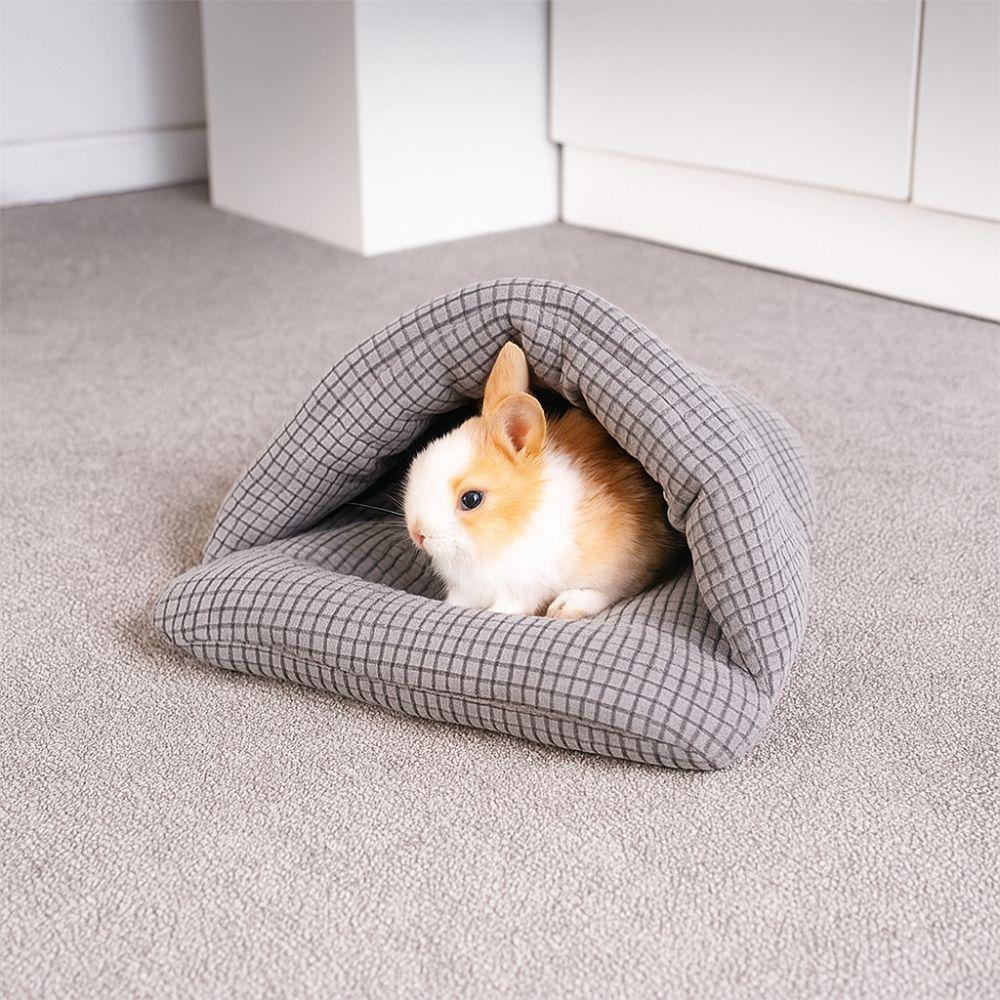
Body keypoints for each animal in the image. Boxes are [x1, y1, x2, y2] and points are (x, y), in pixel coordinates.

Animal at [403, 342, 684, 619]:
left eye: (471, 499)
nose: (418, 534)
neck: (516, 519)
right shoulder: (467, 591)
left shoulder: (519, 591)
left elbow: (507, 607)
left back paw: (566, 606)